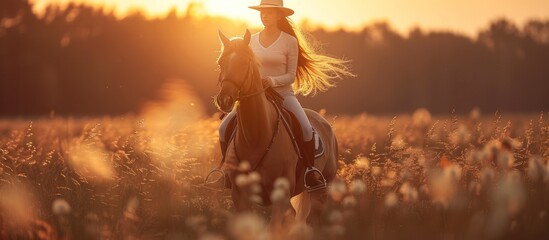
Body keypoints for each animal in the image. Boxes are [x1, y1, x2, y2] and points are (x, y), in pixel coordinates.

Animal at [213, 29, 338, 226]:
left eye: (245, 62)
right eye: (221, 62)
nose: (224, 100)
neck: (255, 136)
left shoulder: (281, 199)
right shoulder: (240, 197)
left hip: (321, 190)